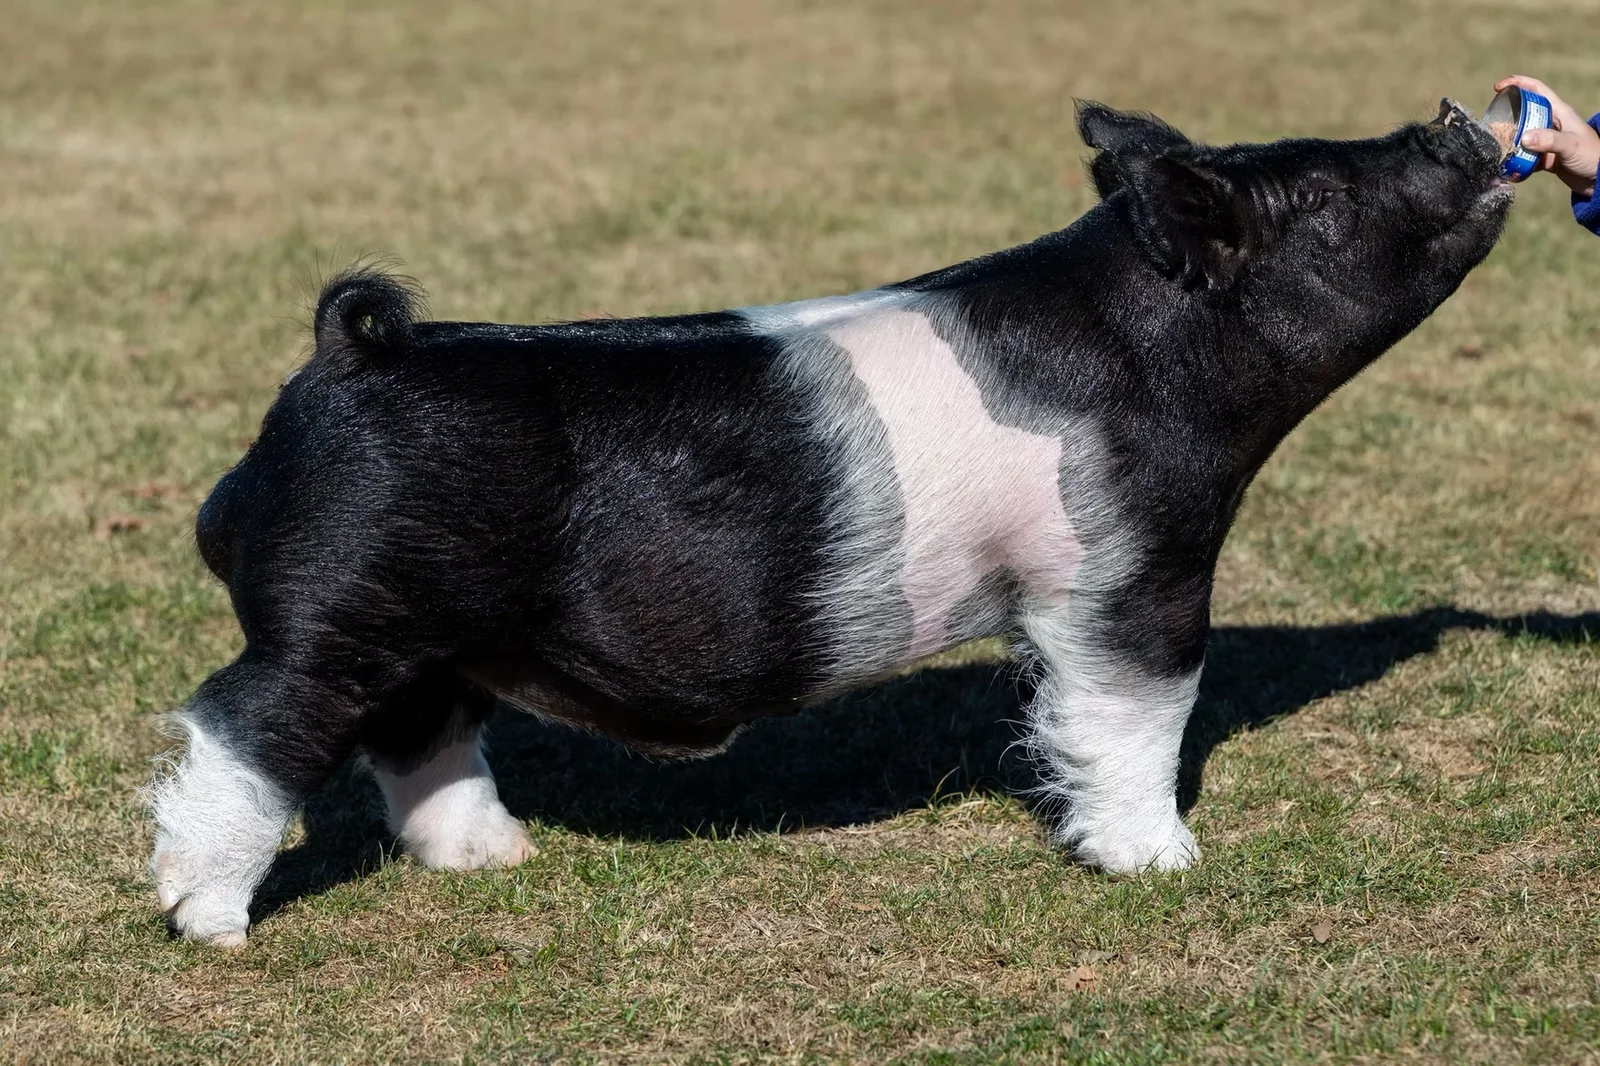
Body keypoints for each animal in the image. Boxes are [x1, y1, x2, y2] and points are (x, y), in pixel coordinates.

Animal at [150, 100, 1512, 945]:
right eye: (1324, 191)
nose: (1459, 119)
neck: (1163, 359)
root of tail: (347, 357)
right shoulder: (1132, 559)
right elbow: (1140, 711)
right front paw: (1163, 864)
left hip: (427, 628)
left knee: (421, 734)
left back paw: (499, 858)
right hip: (332, 612)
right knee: (240, 727)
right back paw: (208, 923)